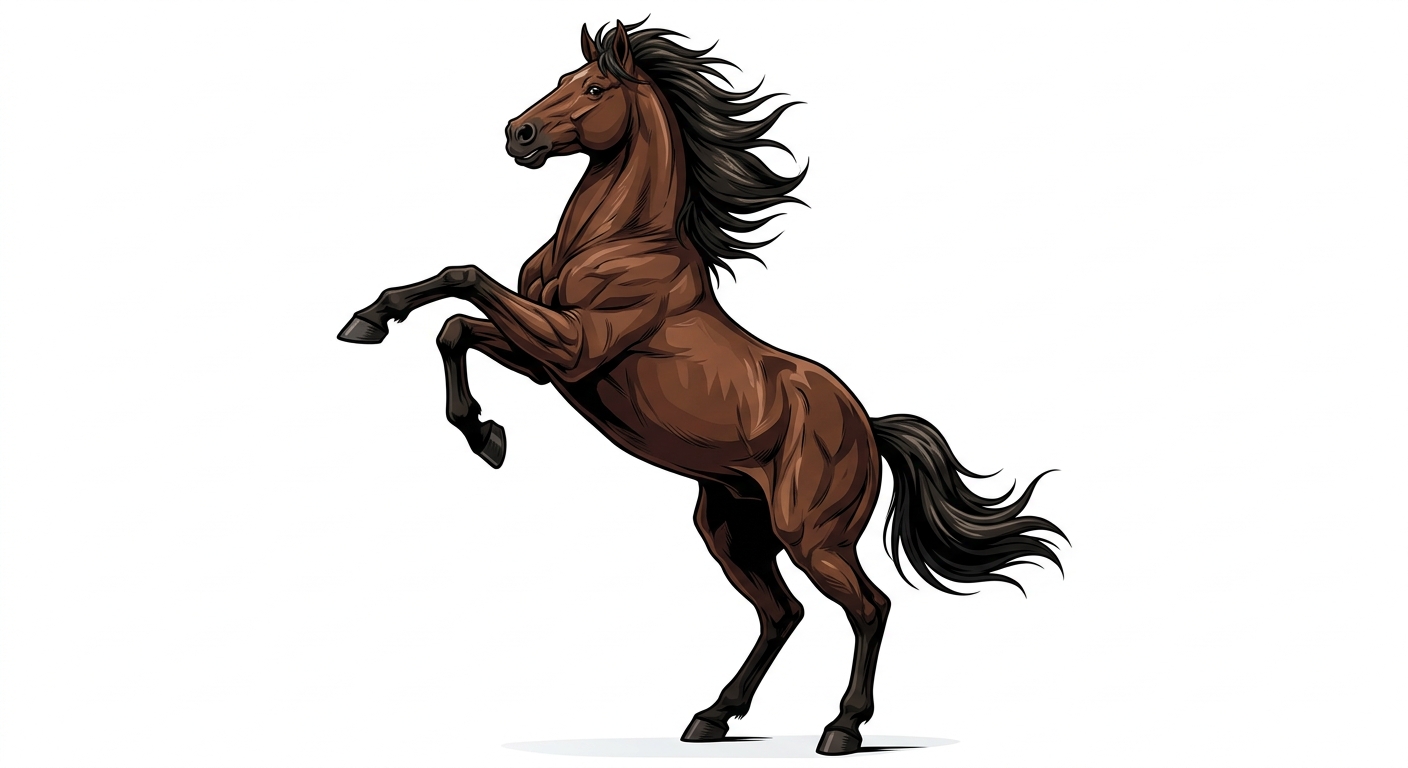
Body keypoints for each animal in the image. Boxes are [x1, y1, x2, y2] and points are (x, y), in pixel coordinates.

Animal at [337, 19, 1065, 756]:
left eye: (594, 88)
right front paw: (455, 405)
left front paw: (458, 408)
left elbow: (463, 280)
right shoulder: (544, 359)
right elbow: (454, 324)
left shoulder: (575, 346)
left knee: (868, 606)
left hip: (814, 537)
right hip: (730, 527)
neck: (615, 241)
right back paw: (712, 716)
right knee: (783, 612)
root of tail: (868, 425)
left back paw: (842, 727)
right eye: (563, 79)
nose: (519, 133)